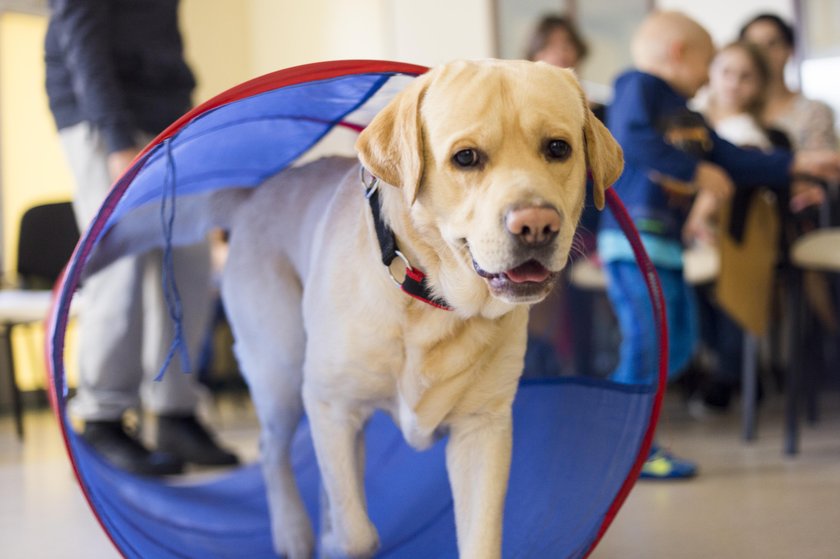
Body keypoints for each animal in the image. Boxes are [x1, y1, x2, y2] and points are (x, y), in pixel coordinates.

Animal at [220, 59, 620, 556]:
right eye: (466, 158)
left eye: (558, 148)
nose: (537, 225)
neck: (429, 297)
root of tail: (252, 198)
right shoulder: (333, 404)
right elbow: (358, 533)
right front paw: (337, 540)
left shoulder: (481, 428)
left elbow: (479, 537)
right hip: (282, 373)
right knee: (272, 450)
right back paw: (292, 532)